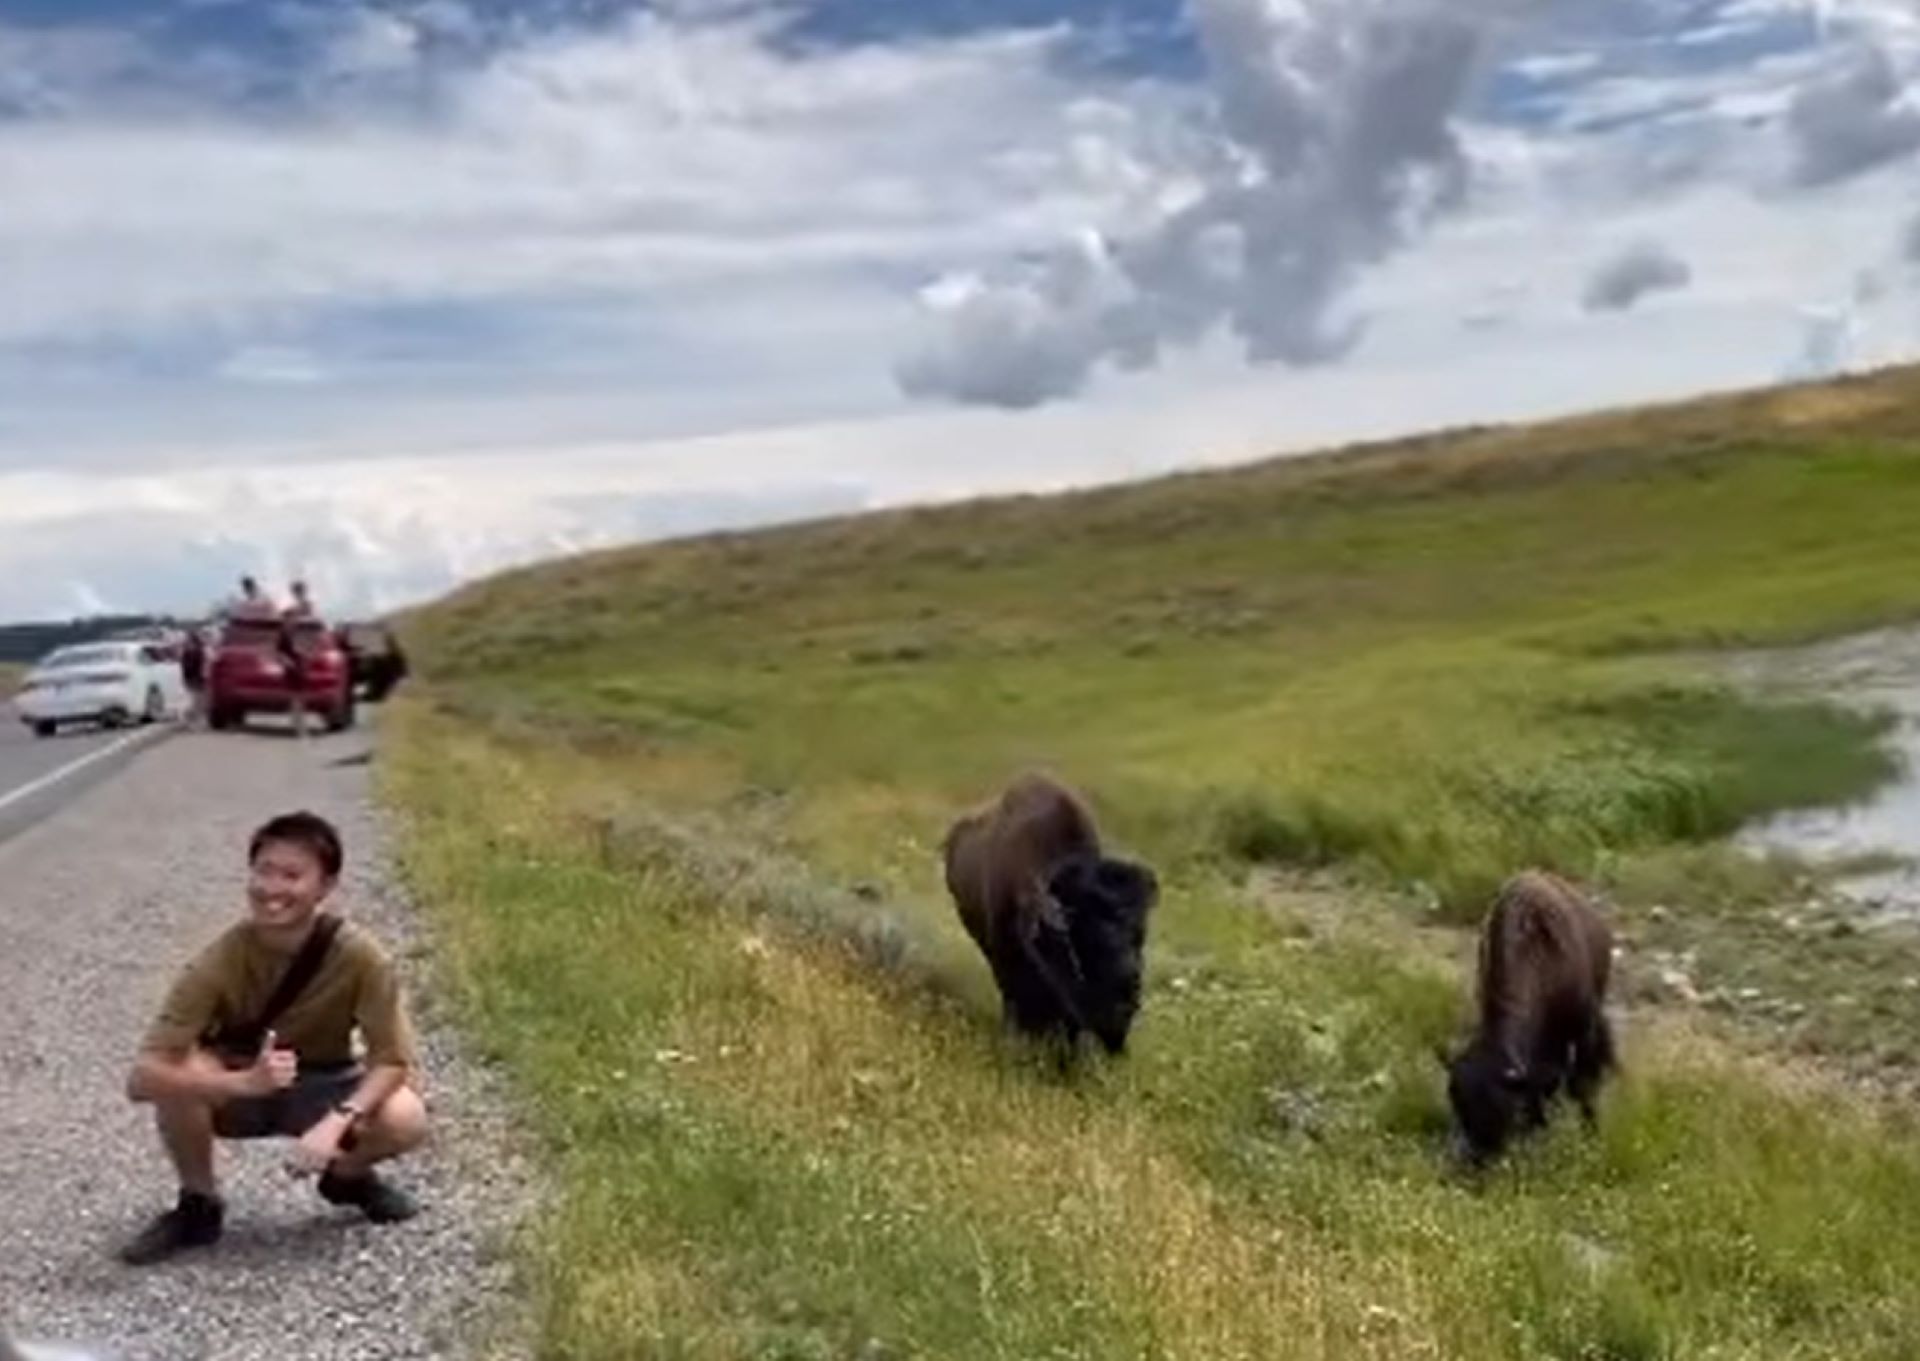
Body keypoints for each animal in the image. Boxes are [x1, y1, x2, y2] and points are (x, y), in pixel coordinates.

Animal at [1443, 863, 1612, 1159]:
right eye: (1458, 1103)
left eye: (1501, 1108)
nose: (1478, 1157)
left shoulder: (1582, 1030)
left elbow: (1582, 1086)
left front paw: (1591, 1132)